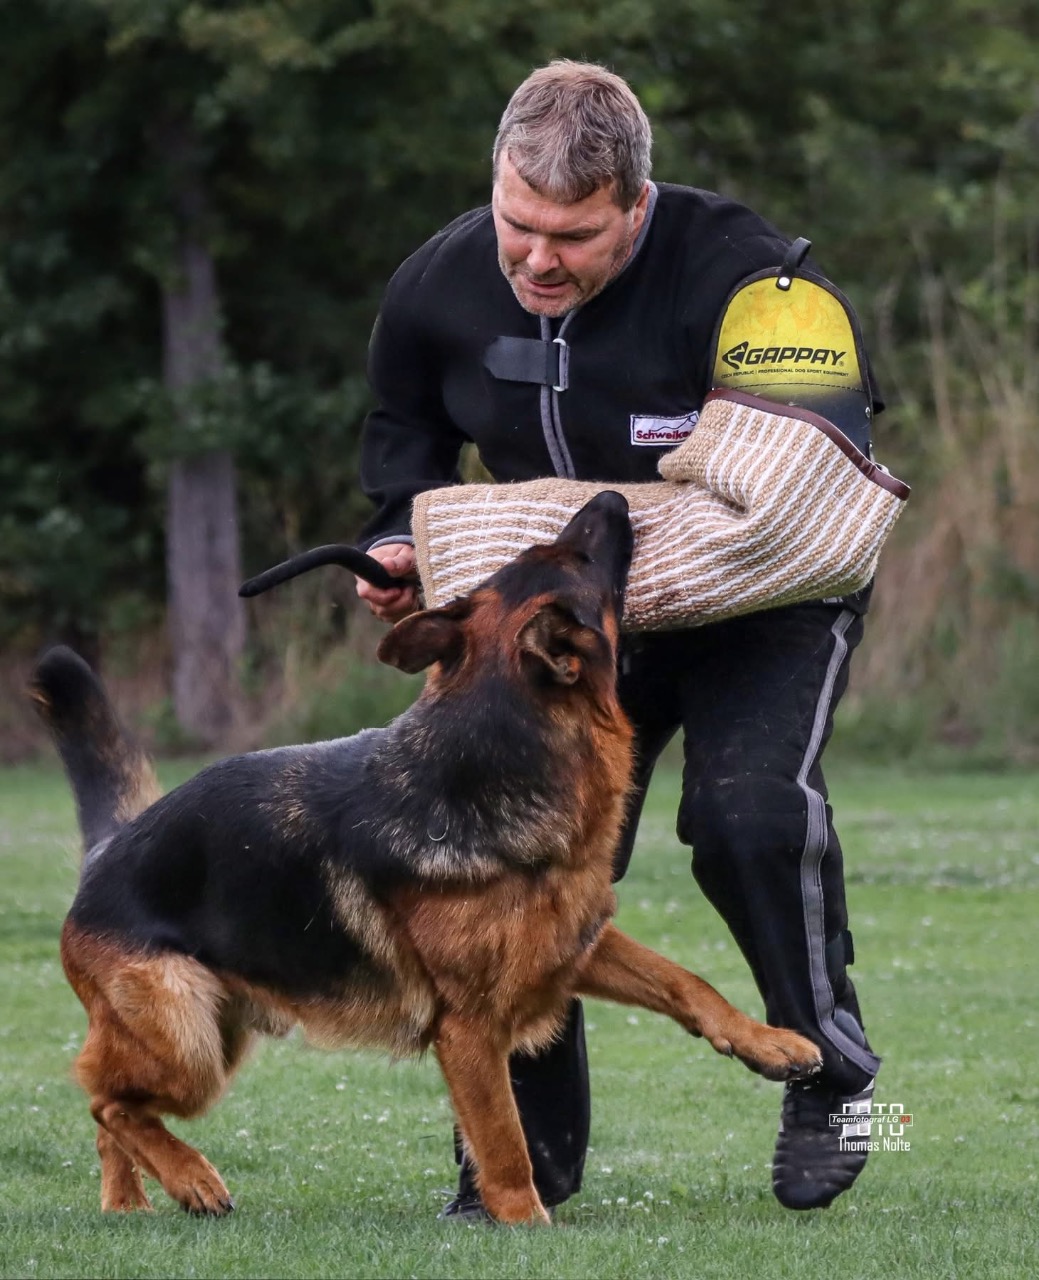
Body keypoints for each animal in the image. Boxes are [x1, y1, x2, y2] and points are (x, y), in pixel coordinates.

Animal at [30, 491, 821, 1225]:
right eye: (580, 558)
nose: (610, 496)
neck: (498, 750)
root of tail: (108, 850)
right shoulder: (469, 1030)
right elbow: (503, 1140)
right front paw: (525, 1224)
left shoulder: (571, 944)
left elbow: (686, 982)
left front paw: (768, 1042)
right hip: (188, 1035)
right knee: (105, 1101)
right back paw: (190, 1177)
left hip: (206, 1034)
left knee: (113, 1104)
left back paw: (129, 1200)